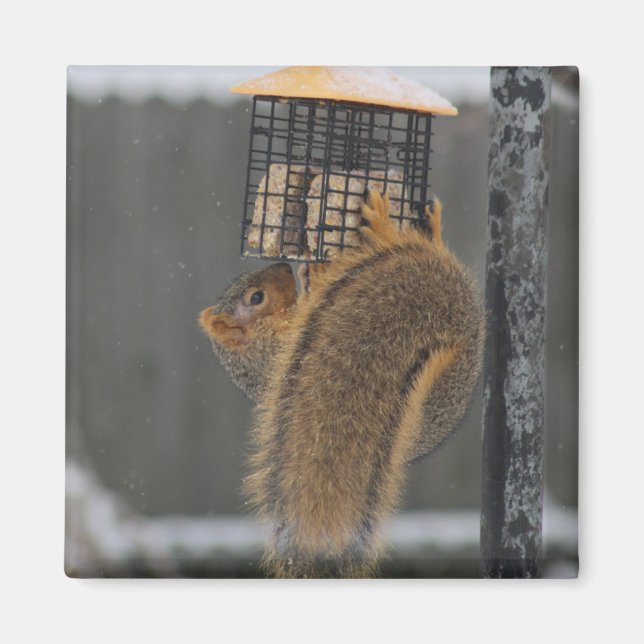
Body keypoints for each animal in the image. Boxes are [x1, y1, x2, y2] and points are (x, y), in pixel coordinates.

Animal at [199, 191, 485, 578]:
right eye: (256, 298)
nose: (284, 266)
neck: (253, 348)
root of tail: (465, 341)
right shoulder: (278, 347)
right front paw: (315, 273)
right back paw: (381, 226)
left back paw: (429, 229)